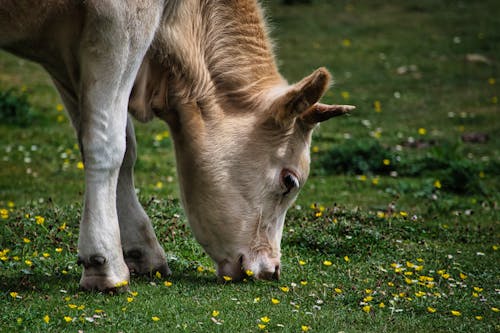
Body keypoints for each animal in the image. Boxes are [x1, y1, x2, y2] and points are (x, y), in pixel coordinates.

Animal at [0, 0, 354, 290]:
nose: (271, 270)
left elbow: (117, 146)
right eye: (290, 181)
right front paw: (104, 263)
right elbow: (108, 143)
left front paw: (140, 251)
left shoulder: (66, 56)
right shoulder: (120, 18)